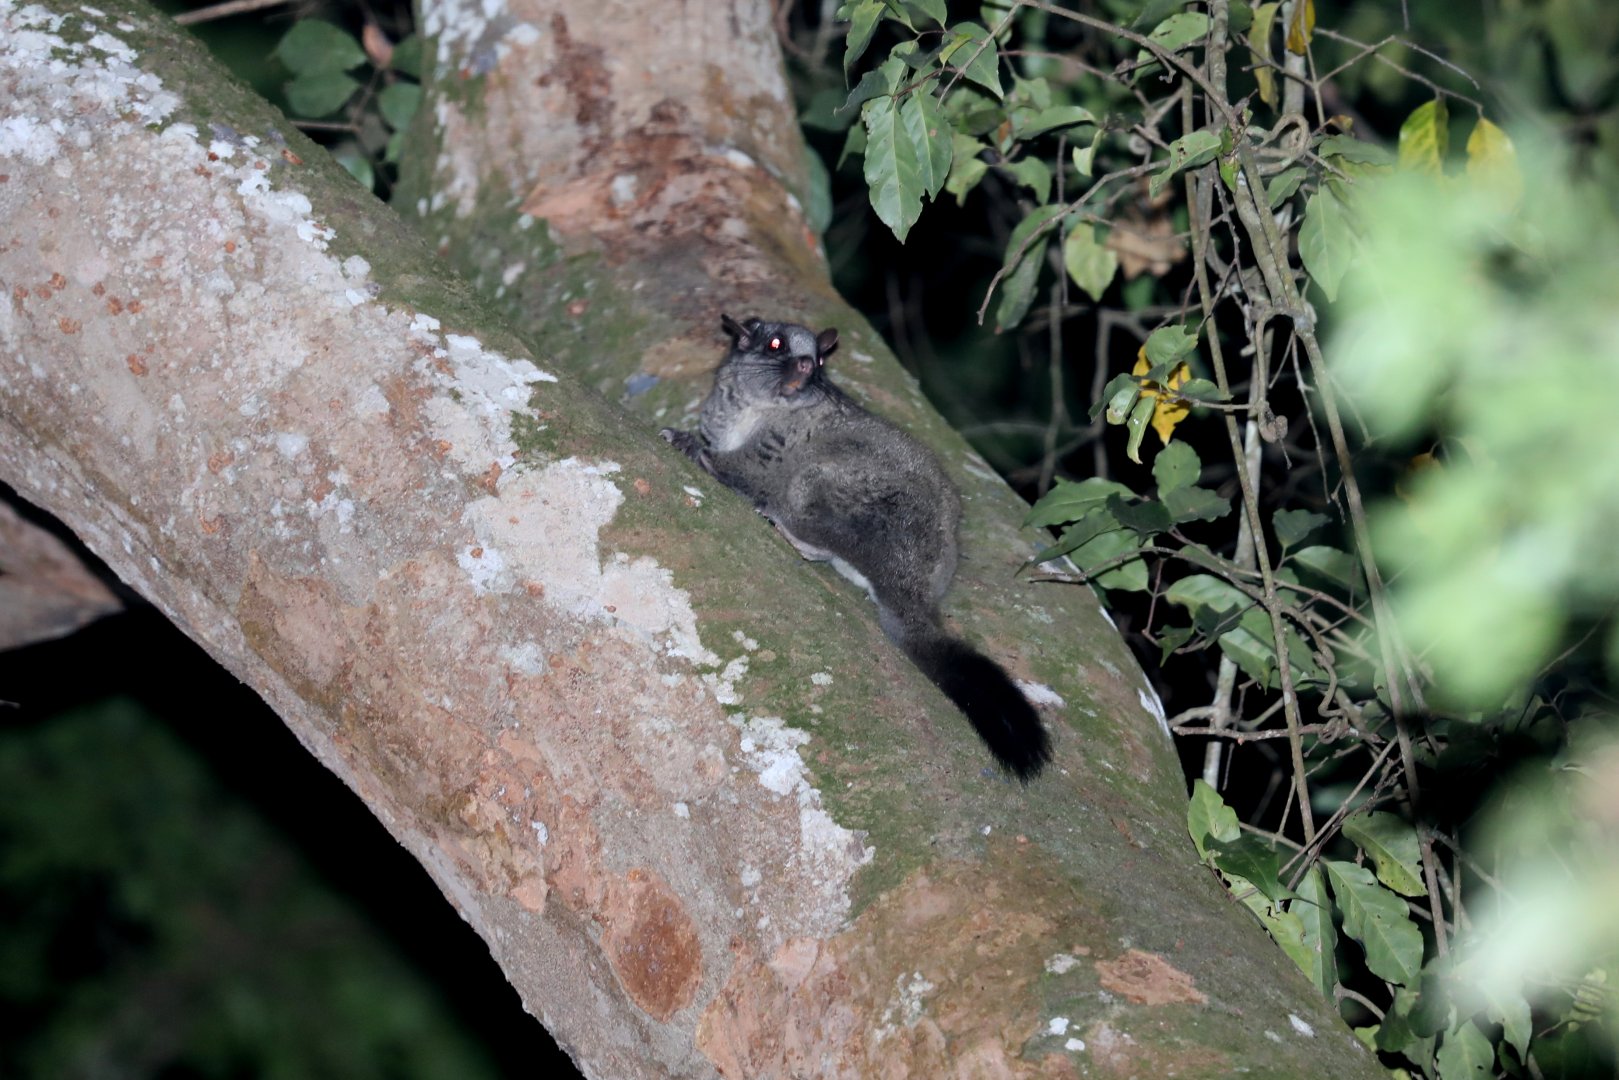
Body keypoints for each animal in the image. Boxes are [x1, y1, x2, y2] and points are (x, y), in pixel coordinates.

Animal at [661, 314, 1052, 781]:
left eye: (818, 358)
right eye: (776, 345)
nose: (806, 365)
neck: (760, 407)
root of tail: (914, 587)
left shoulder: (777, 445)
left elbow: (743, 469)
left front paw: (687, 444)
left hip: (848, 498)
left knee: (807, 508)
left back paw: (788, 528)